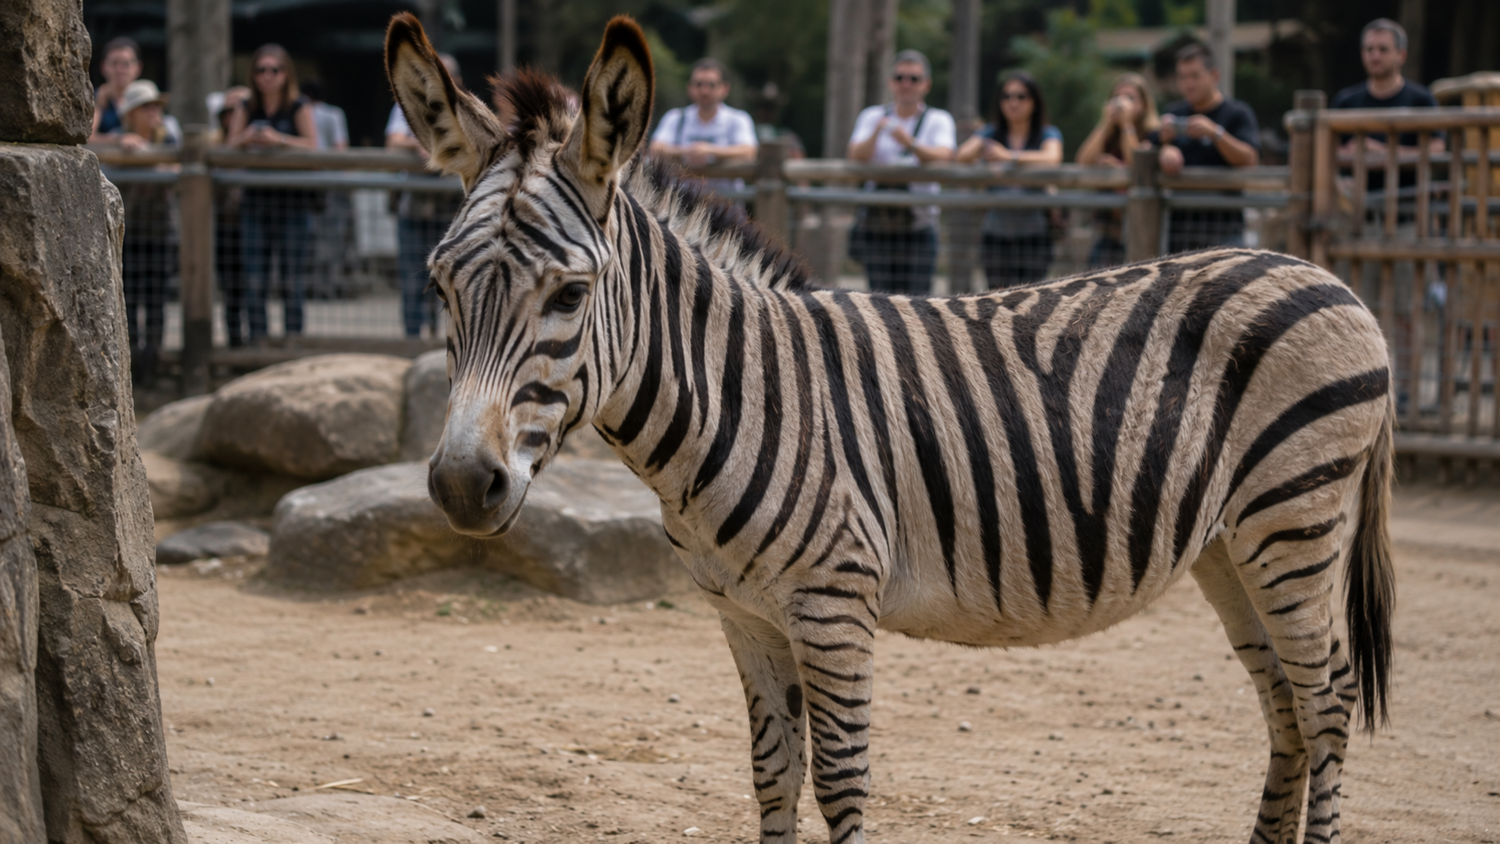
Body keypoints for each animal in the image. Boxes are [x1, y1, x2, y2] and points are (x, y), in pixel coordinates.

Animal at [387, 14, 1395, 844]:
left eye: (569, 294)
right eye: (439, 285)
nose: (460, 485)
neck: (733, 396)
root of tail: (1326, 275)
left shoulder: (834, 603)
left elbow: (839, 782)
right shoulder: (744, 616)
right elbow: (771, 776)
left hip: (1292, 521)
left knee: (1328, 703)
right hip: (1230, 544)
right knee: (1286, 706)